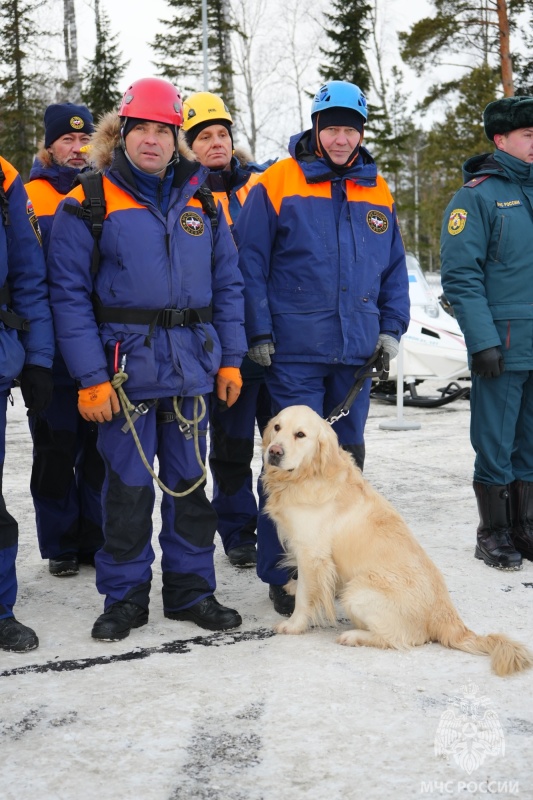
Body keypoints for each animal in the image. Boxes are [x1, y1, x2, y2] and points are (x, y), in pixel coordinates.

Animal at [262, 406, 532, 676]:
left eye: (300, 434)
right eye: (277, 427)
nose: (274, 452)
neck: (308, 474)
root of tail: (448, 619)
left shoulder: (312, 553)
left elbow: (305, 596)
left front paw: (293, 625)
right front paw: (291, 586)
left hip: (357, 591)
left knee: (402, 638)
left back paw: (354, 636)